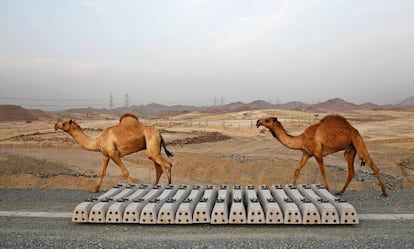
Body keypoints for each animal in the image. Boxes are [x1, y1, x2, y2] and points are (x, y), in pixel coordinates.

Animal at [256, 115, 388, 196]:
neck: (302, 139)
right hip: (350, 150)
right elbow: (297, 170)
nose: (257, 122)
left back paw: (384, 193)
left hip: (358, 142)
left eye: (267, 120)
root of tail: (354, 130)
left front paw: (328, 190)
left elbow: (323, 171)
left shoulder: (318, 153)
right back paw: (340, 192)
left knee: (371, 163)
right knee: (351, 171)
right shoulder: (306, 154)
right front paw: (292, 188)